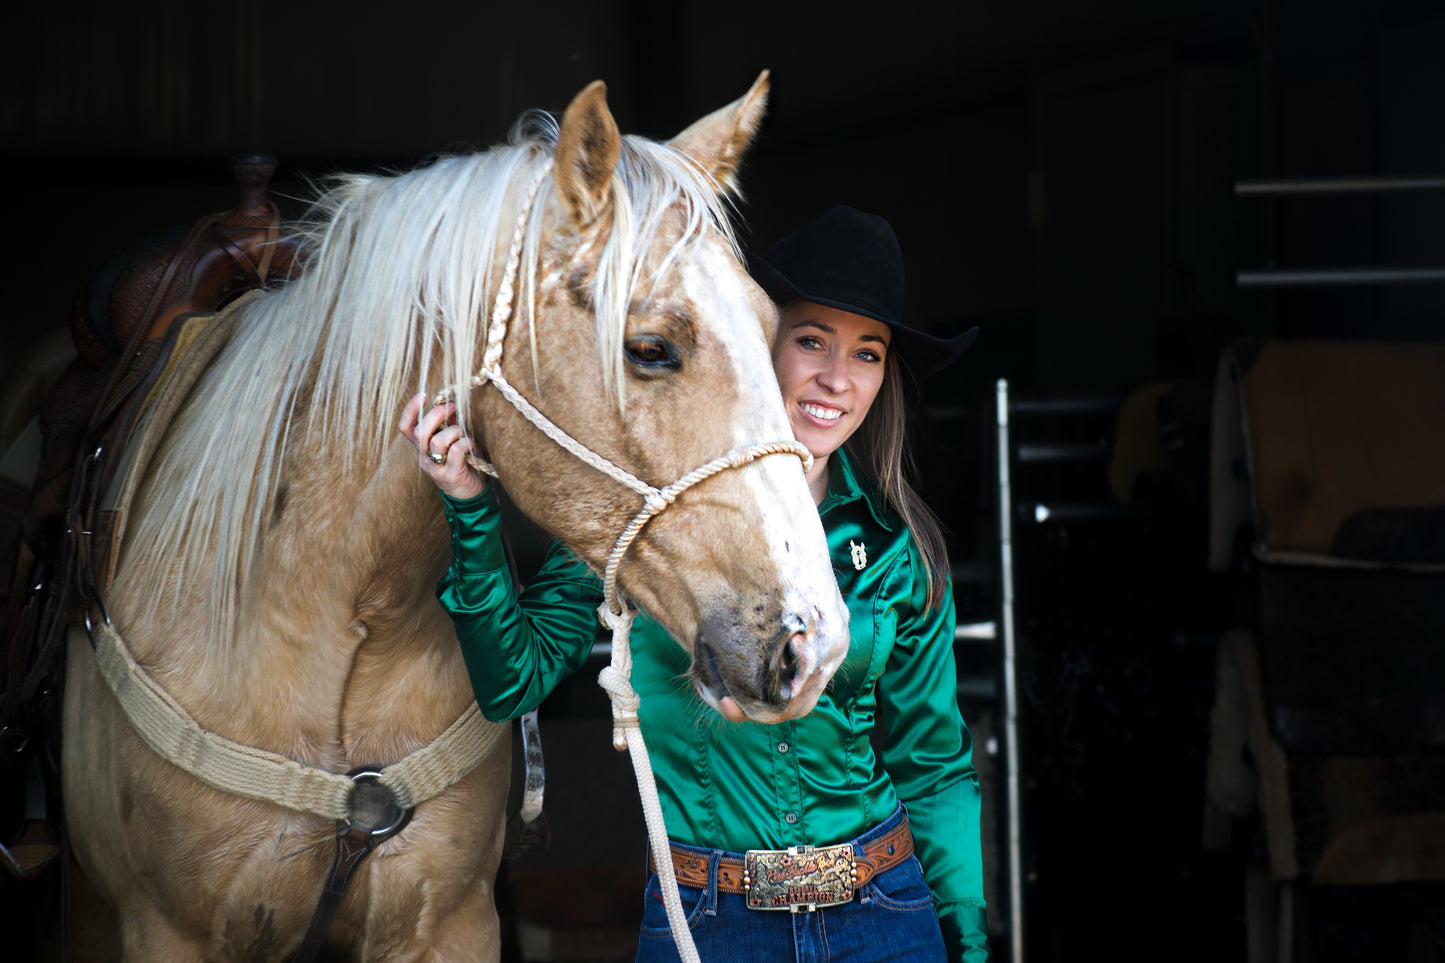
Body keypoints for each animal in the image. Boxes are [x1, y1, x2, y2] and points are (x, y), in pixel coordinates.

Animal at [65, 76, 843, 960]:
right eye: (650, 348)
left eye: (775, 332)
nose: (811, 641)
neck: (336, 608)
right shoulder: (167, 929)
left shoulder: (448, 921)